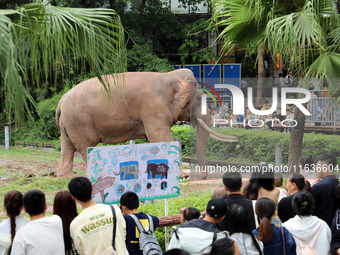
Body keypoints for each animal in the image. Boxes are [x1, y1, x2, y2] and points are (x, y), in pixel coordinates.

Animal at [55, 68, 236, 178]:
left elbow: (152, 140)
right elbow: (160, 136)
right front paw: (181, 175)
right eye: (199, 99)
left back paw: (66, 176)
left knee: (68, 147)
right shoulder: (153, 107)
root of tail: (60, 101)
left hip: (68, 125)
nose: (204, 176)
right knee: (86, 147)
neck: (169, 77)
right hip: (79, 122)